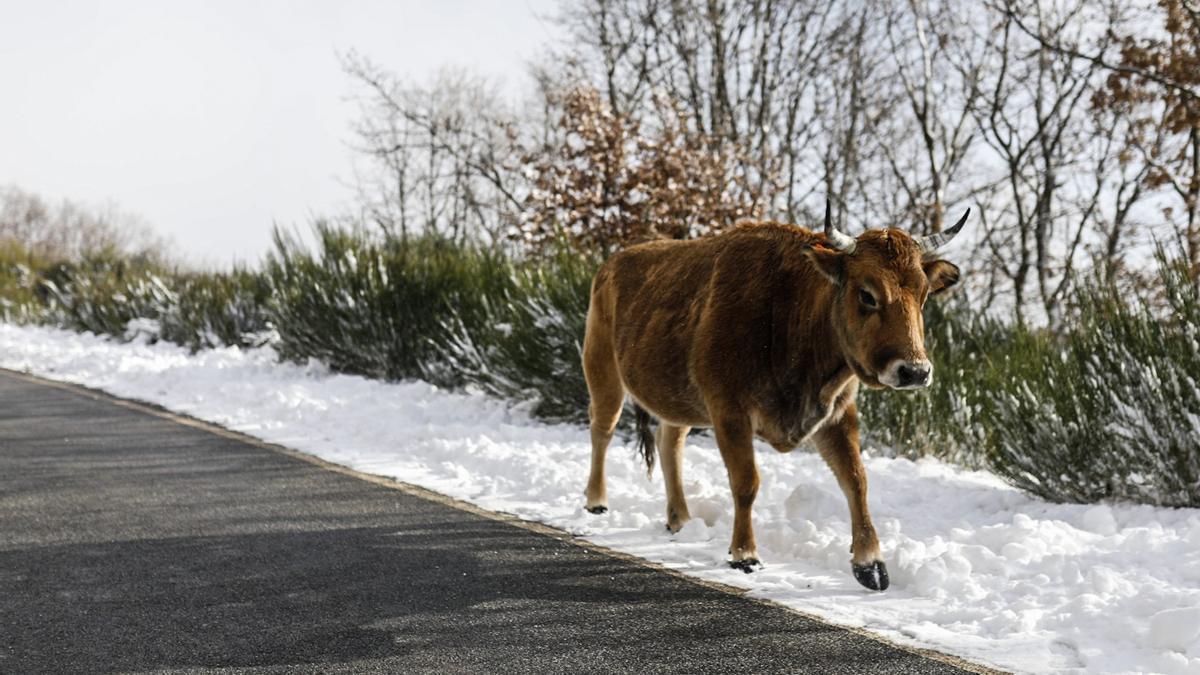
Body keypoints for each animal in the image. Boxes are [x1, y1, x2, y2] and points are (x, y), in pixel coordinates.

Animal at [580, 204, 964, 588]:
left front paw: (870, 565)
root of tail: (612, 264)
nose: (914, 371)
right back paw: (596, 501)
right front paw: (744, 554)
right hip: (604, 372)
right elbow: (746, 482)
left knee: (668, 442)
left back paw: (680, 519)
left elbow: (856, 480)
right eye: (867, 294)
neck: (790, 309)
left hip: (677, 399)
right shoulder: (729, 412)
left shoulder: (837, 414)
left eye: (923, 295)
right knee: (603, 429)